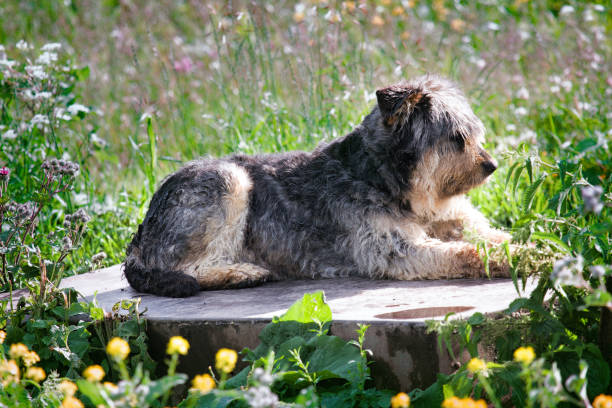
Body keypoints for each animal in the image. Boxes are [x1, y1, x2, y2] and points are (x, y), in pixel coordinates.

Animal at [124, 74, 512, 296]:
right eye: (457, 138)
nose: (491, 166)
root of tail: (140, 234)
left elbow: (491, 237)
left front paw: (521, 247)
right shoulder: (396, 249)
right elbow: (467, 253)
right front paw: (519, 259)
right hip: (228, 180)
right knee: (186, 269)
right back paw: (241, 273)